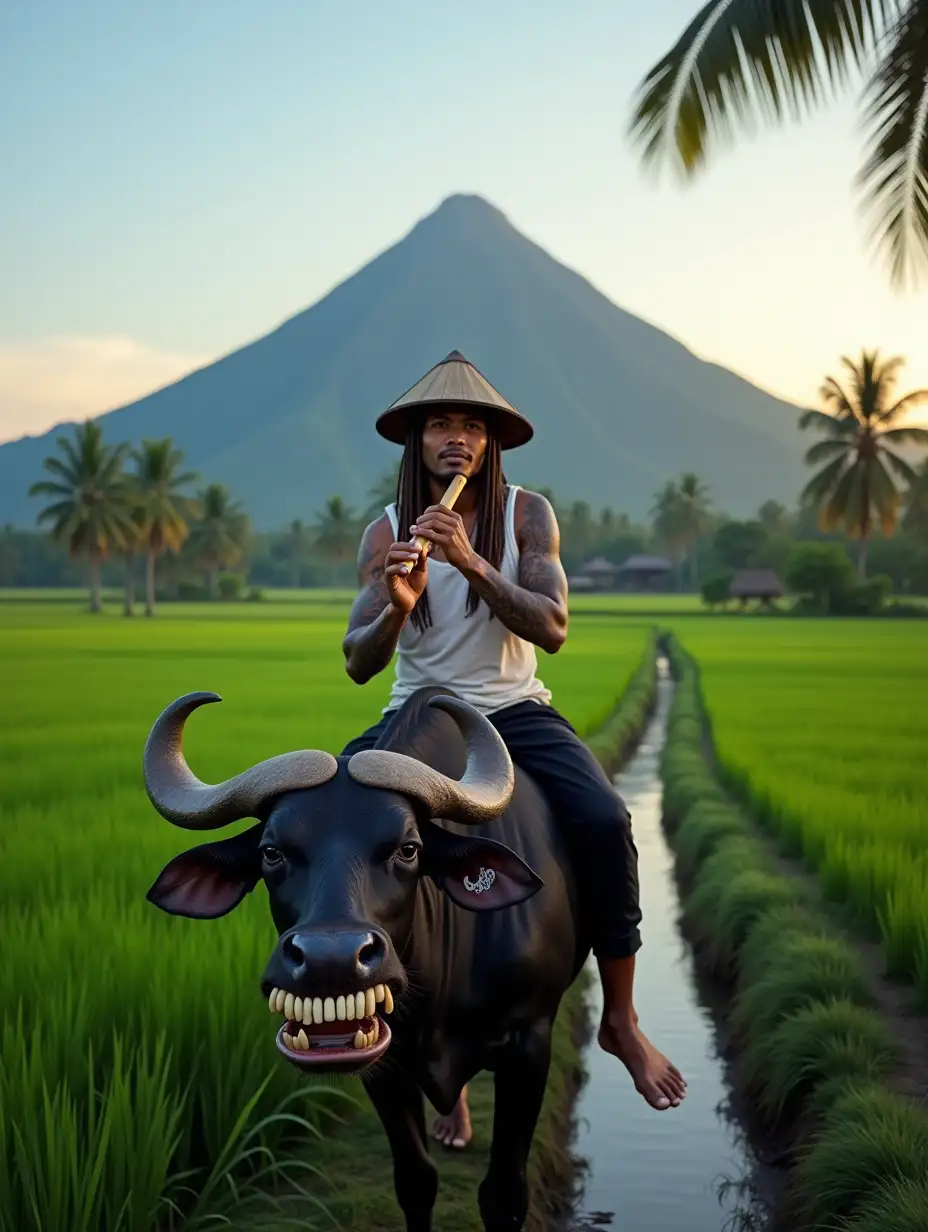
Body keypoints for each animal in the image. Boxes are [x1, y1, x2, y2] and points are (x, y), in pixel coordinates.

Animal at [144, 684, 586, 1232]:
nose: (329, 960)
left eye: (408, 849)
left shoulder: (530, 1043)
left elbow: (504, 1193)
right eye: (271, 852)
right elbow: (416, 1180)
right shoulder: (386, 1066)